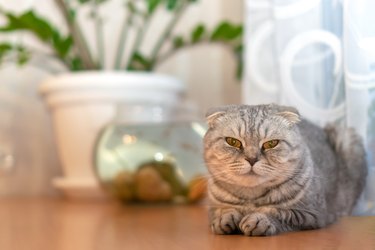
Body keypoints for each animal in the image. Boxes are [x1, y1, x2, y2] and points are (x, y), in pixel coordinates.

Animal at [204, 102, 368, 235]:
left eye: (271, 144)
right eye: (232, 142)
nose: (251, 159)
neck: (252, 198)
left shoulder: (312, 214)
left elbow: (279, 212)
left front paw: (258, 220)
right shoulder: (213, 207)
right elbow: (222, 210)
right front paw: (224, 219)